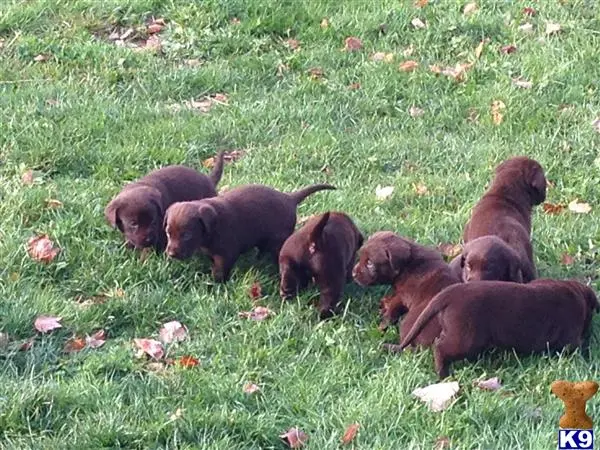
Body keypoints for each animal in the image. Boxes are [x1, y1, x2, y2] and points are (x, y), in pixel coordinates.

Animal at [163, 183, 332, 282]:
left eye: (186, 235)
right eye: (168, 233)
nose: (171, 254)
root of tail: (289, 198)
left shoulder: (226, 254)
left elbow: (220, 271)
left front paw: (216, 285)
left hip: (277, 240)